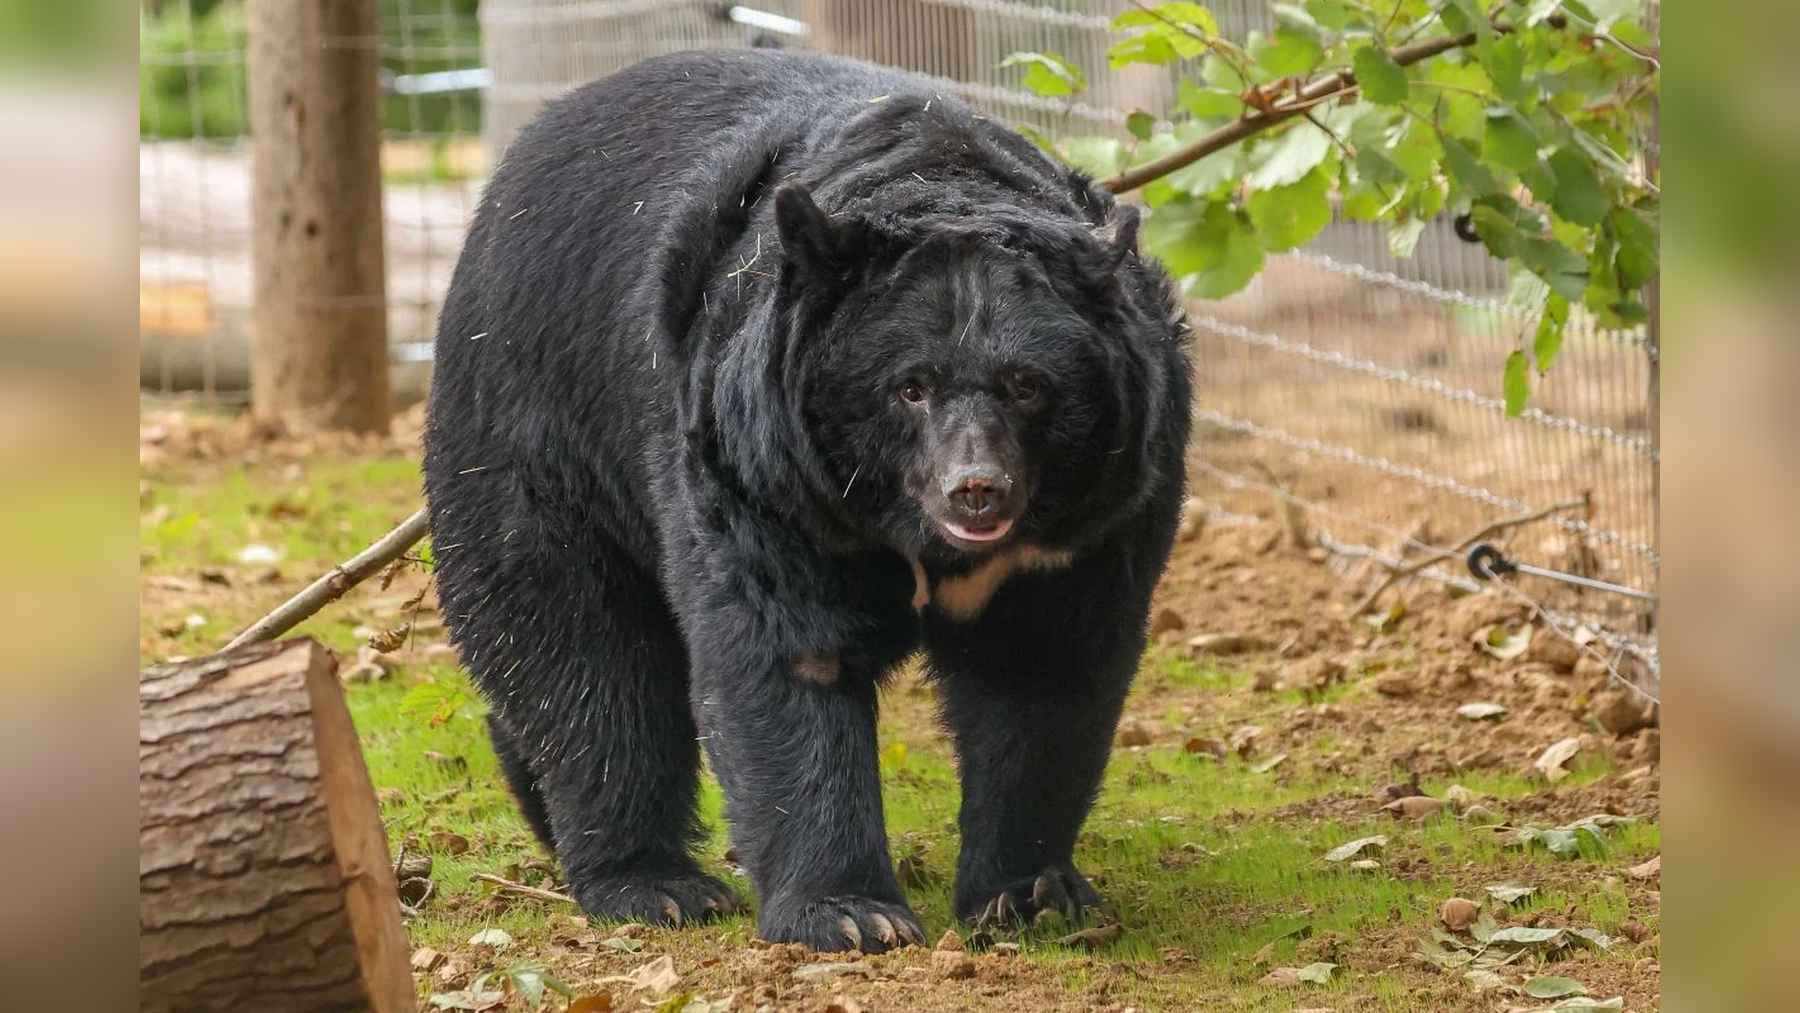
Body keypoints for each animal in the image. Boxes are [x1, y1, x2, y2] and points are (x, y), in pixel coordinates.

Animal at [422, 49, 1191, 952]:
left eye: (1028, 385)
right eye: (910, 386)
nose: (976, 490)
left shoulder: (1099, 510)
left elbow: (1043, 671)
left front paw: (1030, 893)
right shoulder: (759, 465)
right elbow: (785, 653)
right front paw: (851, 913)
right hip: (535, 432)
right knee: (584, 653)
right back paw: (655, 883)